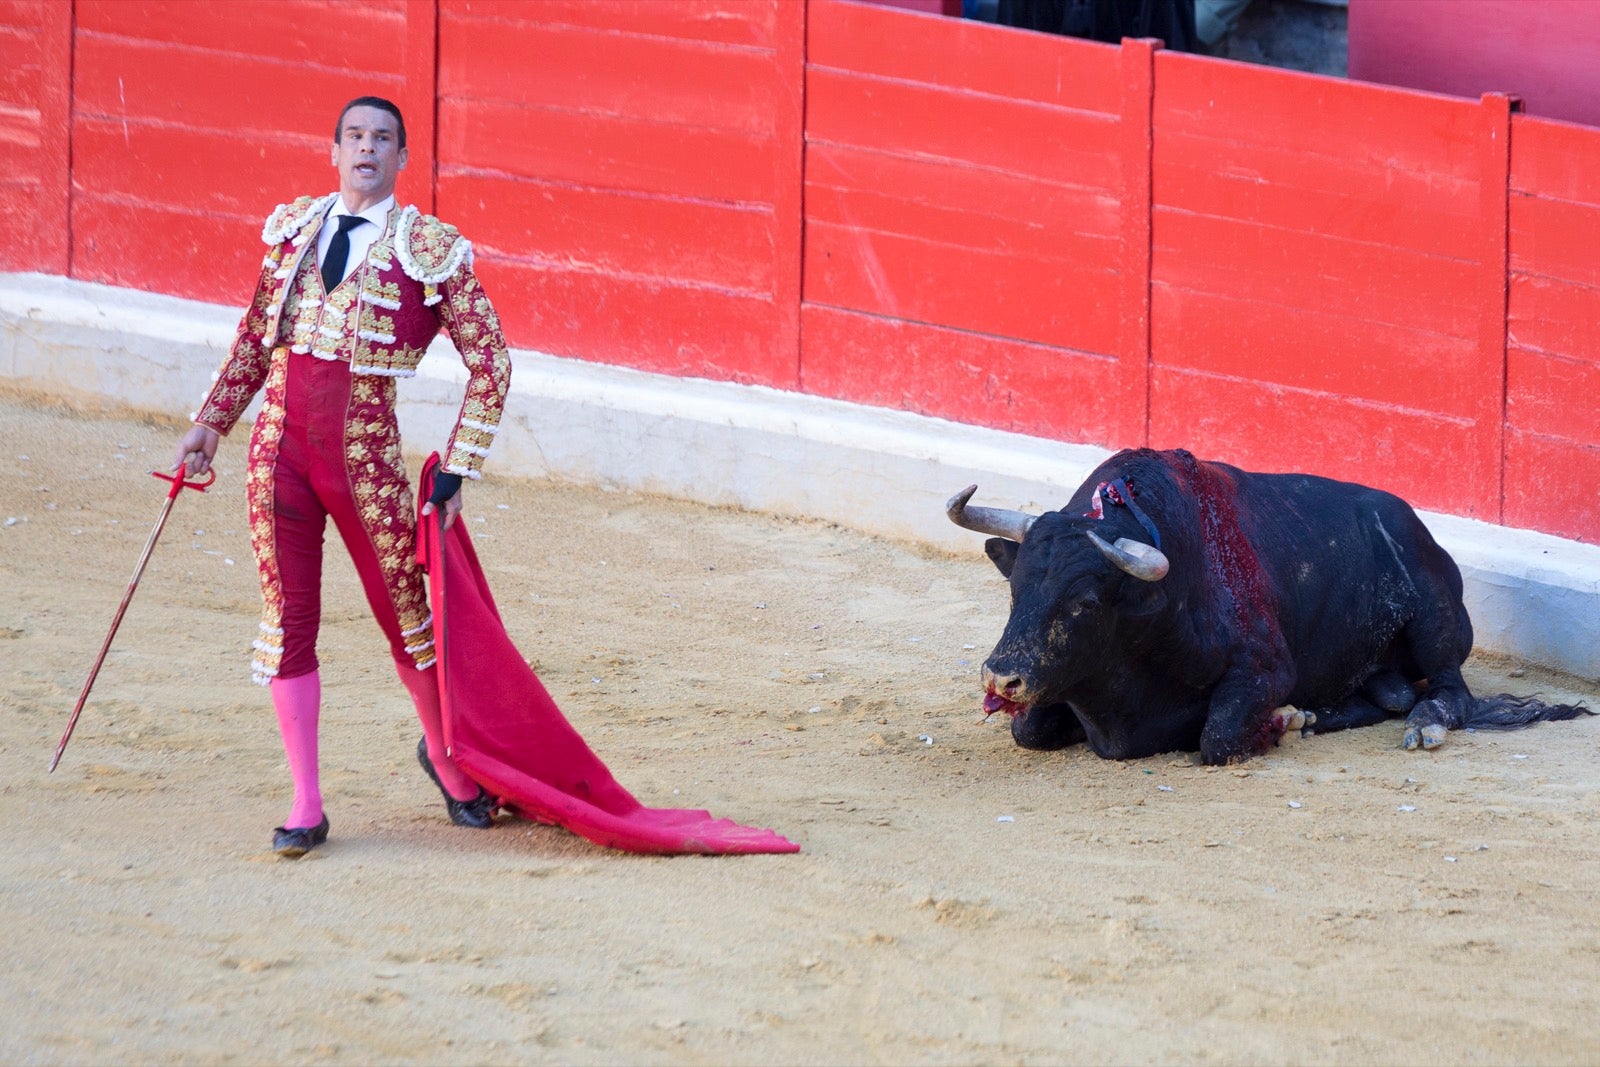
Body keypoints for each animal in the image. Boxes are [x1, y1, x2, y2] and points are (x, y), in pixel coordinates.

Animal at [947, 447, 1587, 764]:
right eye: (1015, 588)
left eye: (1083, 602)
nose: (1001, 677)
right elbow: (1028, 729)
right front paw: (1293, 720)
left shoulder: (1265, 669)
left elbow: (1219, 738)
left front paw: (1278, 723)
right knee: (1389, 697)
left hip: (1436, 620)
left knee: (1450, 693)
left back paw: (1420, 724)